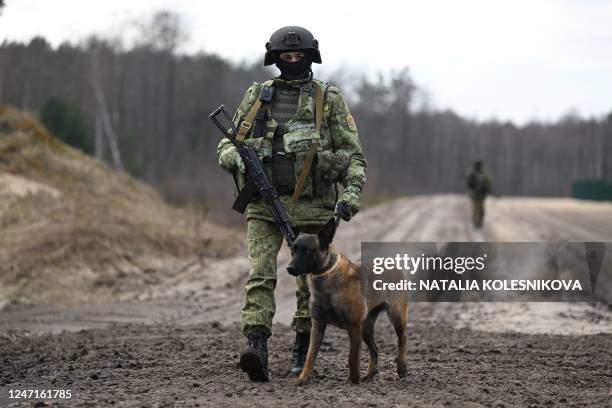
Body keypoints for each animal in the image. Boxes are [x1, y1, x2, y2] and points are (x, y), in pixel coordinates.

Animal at [286, 218, 408, 384]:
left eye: (307, 251)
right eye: (294, 249)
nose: (289, 268)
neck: (326, 278)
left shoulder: (354, 326)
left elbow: (352, 357)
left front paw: (353, 380)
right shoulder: (318, 325)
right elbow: (310, 356)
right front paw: (303, 378)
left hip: (396, 317)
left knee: (402, 340)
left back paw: (402, 367)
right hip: (366, 328)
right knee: (375, 349)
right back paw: (370, 374)